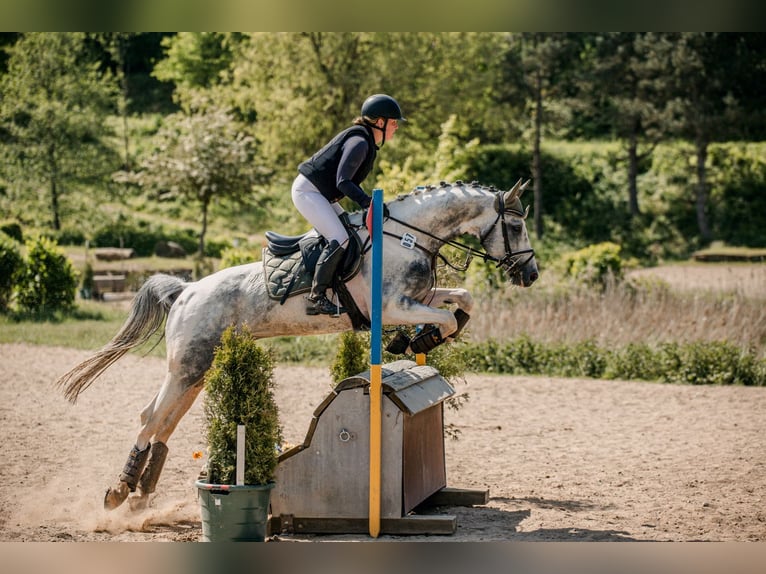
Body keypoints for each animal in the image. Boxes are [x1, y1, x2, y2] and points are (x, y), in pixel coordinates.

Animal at [55, 178, 540, 510]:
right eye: (516, 225)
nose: (531, 275)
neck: (408, 237)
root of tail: (186, 289)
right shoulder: (392, 306)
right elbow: (443, 316)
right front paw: (419, 338)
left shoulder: (415, 299)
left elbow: (462, 300)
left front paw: (424, 338)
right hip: (187, 366)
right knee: (151, 416)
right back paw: (120, 491)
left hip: (199, 369)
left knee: (164, 421)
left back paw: (139, 494)